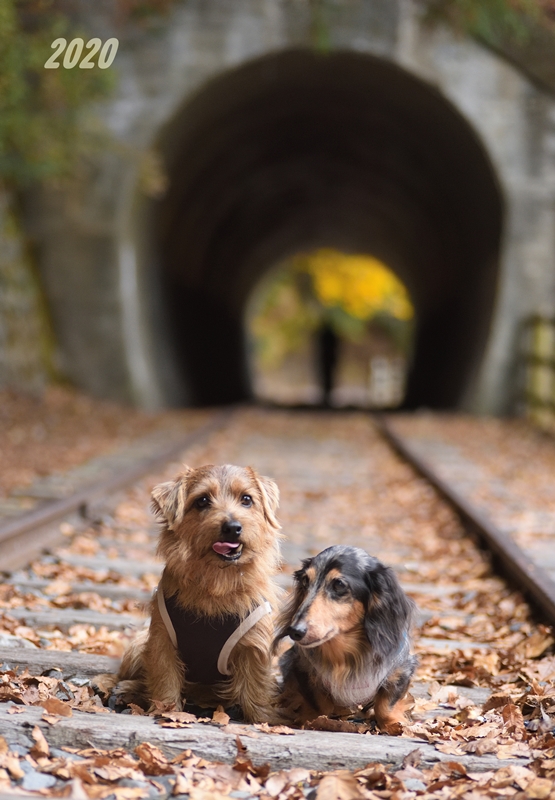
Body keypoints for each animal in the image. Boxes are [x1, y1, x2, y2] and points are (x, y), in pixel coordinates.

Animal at [118, 462, 282, 724]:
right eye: (202, 500)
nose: (232, 527)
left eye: (246, 499)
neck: (217, 582)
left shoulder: (254, 644)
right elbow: (164, 679)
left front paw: (265, 720)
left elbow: (256, 687)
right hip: (137, 645)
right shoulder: (162, 641)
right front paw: (168, 711)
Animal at [274, 544, 416, 732]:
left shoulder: (400, 670)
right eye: (305, 581)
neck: (345, 653)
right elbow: (319, 705)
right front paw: (310, 720)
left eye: (339, 584)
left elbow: (385, 705)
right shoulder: (301, 667)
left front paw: (393, 724)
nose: (295, 631)